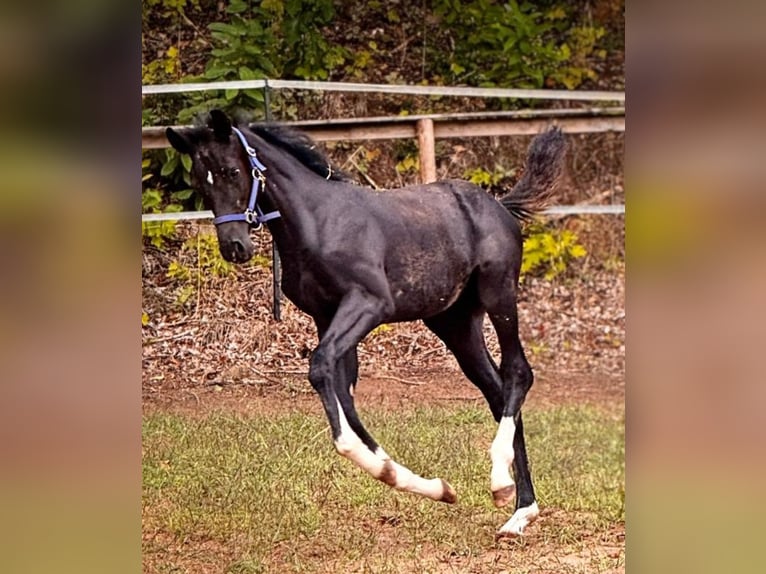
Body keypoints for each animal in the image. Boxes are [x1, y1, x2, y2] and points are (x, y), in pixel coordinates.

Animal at [166, 110, 566, 537]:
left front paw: (399, 475)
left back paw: (509, 494)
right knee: (495, 390)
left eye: (232, 171)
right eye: (200, 183)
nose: (234, 247)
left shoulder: (369, 303)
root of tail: (500, 205)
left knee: (518, 372)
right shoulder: (325, 316)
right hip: (453, 322)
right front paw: (423, 483)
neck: (318, 223)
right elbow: (342, 393)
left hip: (498, 293)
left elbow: (321, 369)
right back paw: (518, 505)